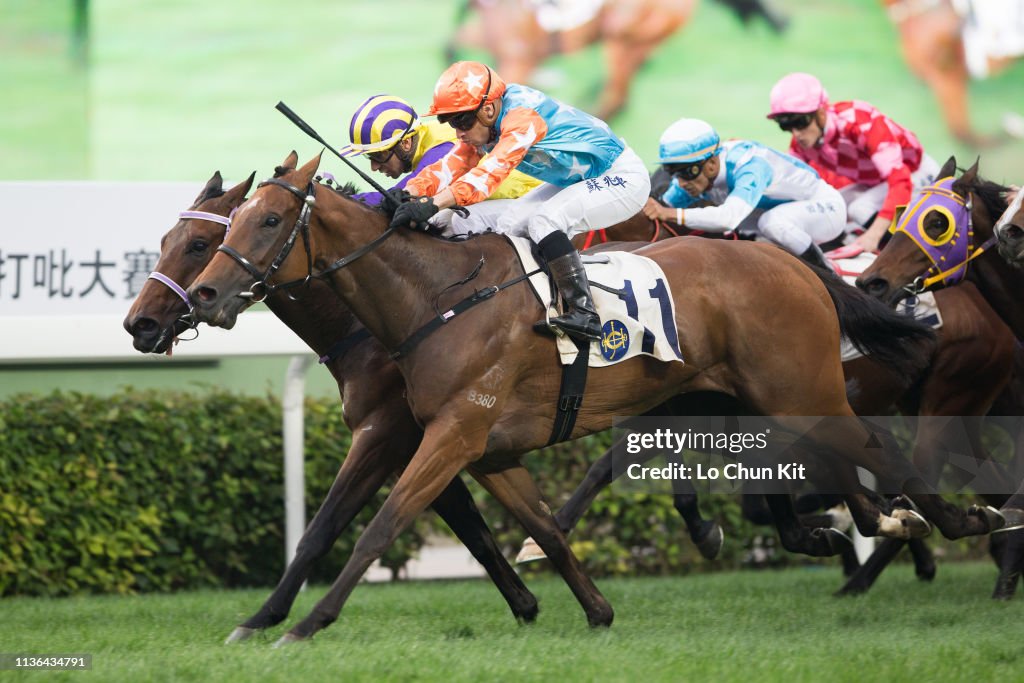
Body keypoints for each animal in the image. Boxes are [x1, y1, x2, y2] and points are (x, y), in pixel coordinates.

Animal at [182, 152, 991, 643]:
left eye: (269, 220)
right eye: (219, 230)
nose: (205, 297)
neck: (434, 298)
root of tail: (787, 260)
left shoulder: (446, 433)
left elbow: (378, 527)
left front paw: (304, 622)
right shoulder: (482, 444)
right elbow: (541, 525)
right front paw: (593, 609)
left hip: (799, 390)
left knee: (877, 450)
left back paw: (949, 519)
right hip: (749, 397)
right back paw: (871, 526)